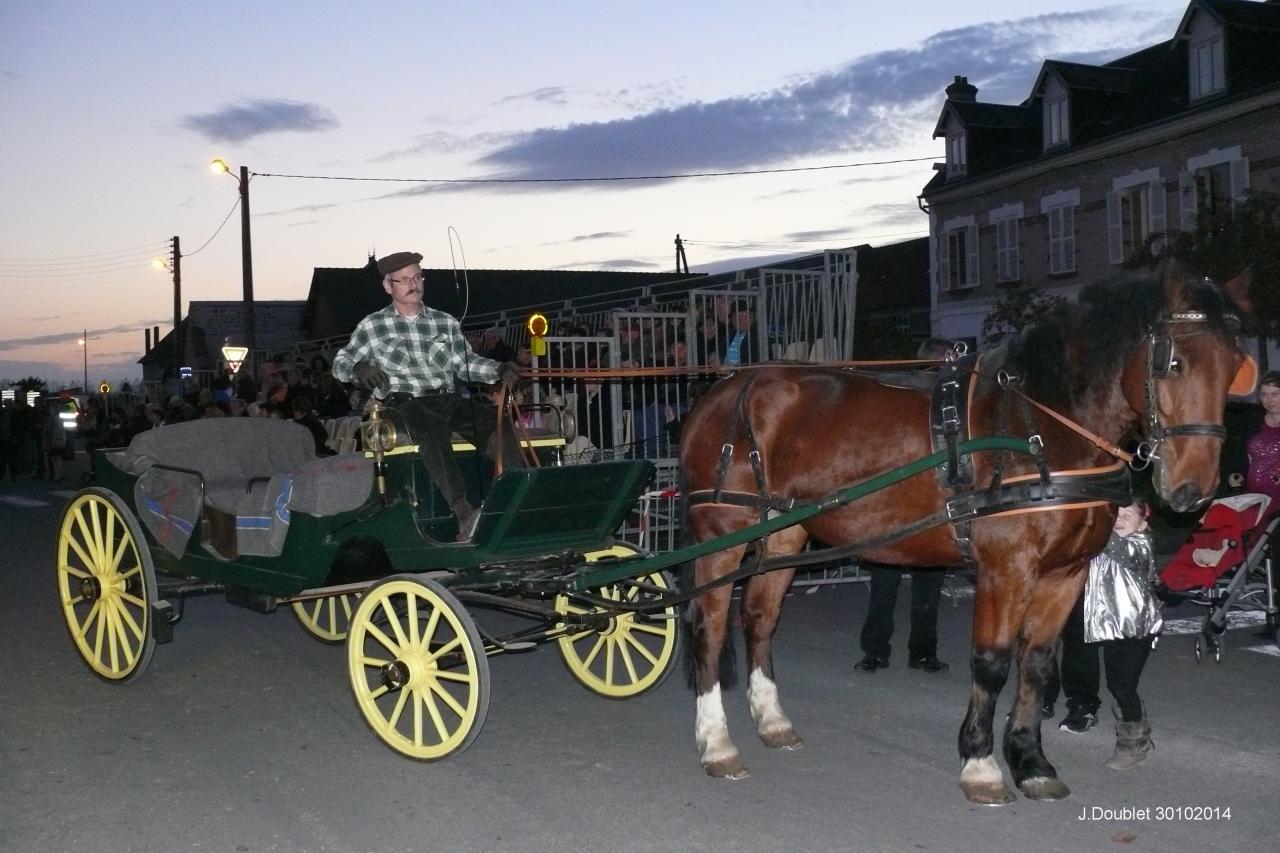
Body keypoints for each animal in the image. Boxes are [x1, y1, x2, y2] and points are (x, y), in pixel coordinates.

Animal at [680, 262, 1249, 799]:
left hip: (784, 535)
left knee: (759, 618)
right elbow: (993, 662)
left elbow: (1036, 665)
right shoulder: (1006, 570)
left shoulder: (1065, 573)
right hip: (721, 534)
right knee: (709, 626)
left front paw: (1031, 762)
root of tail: (724, 390)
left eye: (1234, 367)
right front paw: (981, 764)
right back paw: (717, 743)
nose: (1193, 489)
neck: (1043, 427)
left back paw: (771, 721)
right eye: (1172, 363)